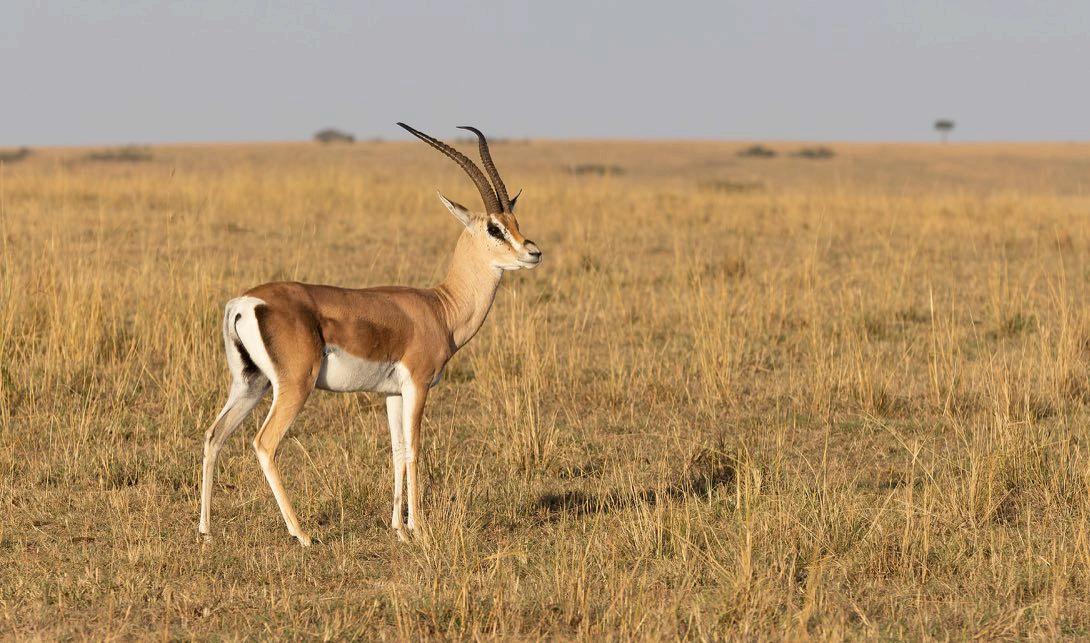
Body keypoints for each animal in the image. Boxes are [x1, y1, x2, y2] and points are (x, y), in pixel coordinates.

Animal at [198, 123, 542, 546]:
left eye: (515, 221)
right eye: (495, 228)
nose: (533, 252)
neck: (440, 308)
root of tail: (245, 302)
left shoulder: (392, 393)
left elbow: (396, 451)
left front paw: (399, 529)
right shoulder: (418, 385)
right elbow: (413, 450)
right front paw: (419, 529)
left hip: (250, 384)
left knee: (214, 435)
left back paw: (207, 531)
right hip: (293, 386)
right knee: (264, 443)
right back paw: (302, 534)